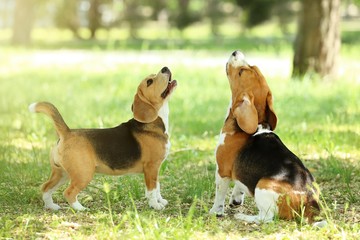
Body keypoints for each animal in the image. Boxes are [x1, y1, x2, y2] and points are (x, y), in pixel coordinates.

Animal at [29, 66, 177, 211]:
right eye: (149, 82)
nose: (165, 68)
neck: (155, 121)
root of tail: (67, 132)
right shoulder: (151, 167)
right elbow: (152, 190)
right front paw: (155, 205)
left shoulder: (156, 169)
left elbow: (157, 187)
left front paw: (161, 201)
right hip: (83, 173)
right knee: (69, 192)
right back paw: (80, 208)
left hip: (62, 173)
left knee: (46, 187)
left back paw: (51, 206)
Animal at [210, 51, 322, 225]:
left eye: (241, 71)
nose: (236, 52)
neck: (257, 123)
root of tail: (308, 204)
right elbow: (239, 185)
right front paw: (236, 199)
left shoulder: (222, 170)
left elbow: (219, 194)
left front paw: (215, 211)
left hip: (262, 185)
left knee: (266, 218)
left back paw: (244, 216)